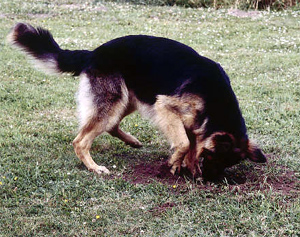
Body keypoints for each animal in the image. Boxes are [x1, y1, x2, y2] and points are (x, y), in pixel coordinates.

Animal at [7, 23, 266, 180]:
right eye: (216, 158)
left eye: (226, 164)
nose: (212, 180)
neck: (215, 101)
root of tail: (94, 52)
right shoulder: (166, 107)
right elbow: (183, 143)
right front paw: (176, 164)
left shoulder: (195, 126)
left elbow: (192, 145)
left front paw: (190, 167)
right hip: (115, 102)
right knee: (81, 141)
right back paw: (94, 167)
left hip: (128, 99)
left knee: (110, 126)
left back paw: (132, 141)